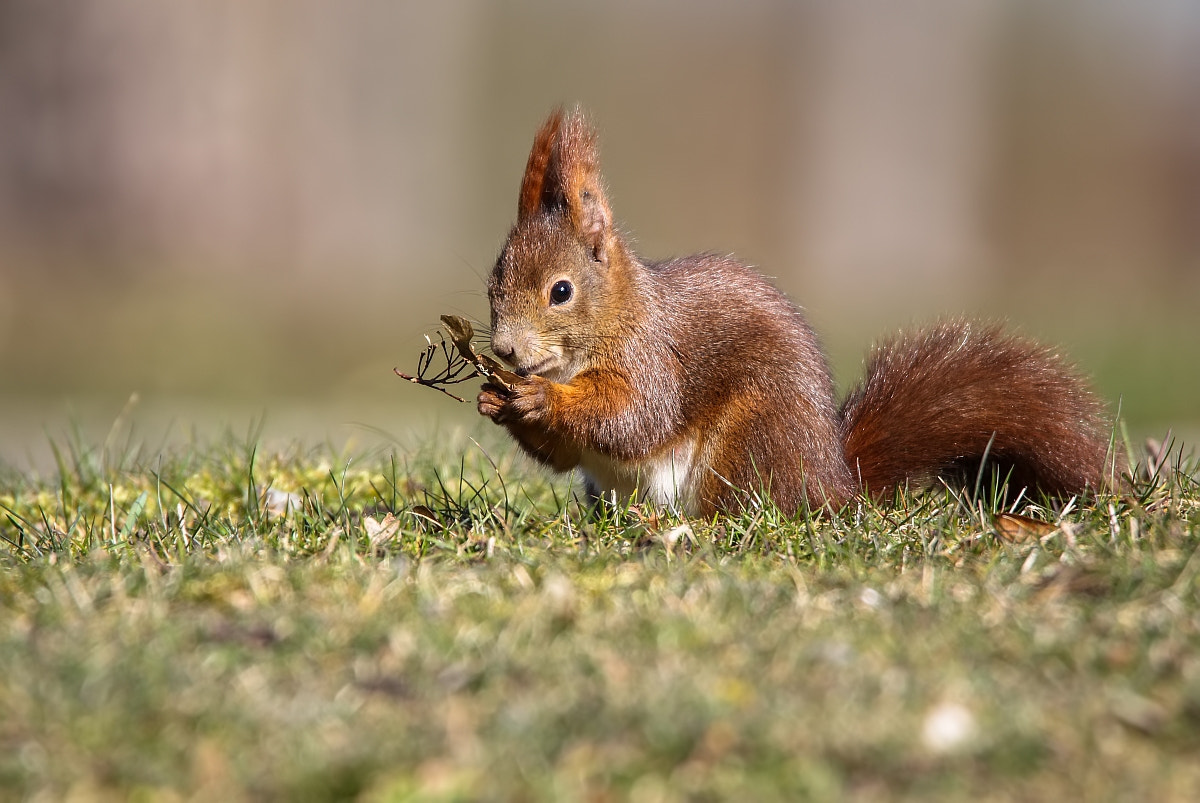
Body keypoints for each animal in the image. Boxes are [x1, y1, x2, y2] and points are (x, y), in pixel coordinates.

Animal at [476, 107, 1122, 517]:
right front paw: (496, 400)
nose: (504, 351)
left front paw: (540, 398)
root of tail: (833, 483)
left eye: (561, 292)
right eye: (493, 283)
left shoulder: (654, 360)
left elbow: (634, 417)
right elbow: (563, 454)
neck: (619, 315)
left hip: (751, 443)